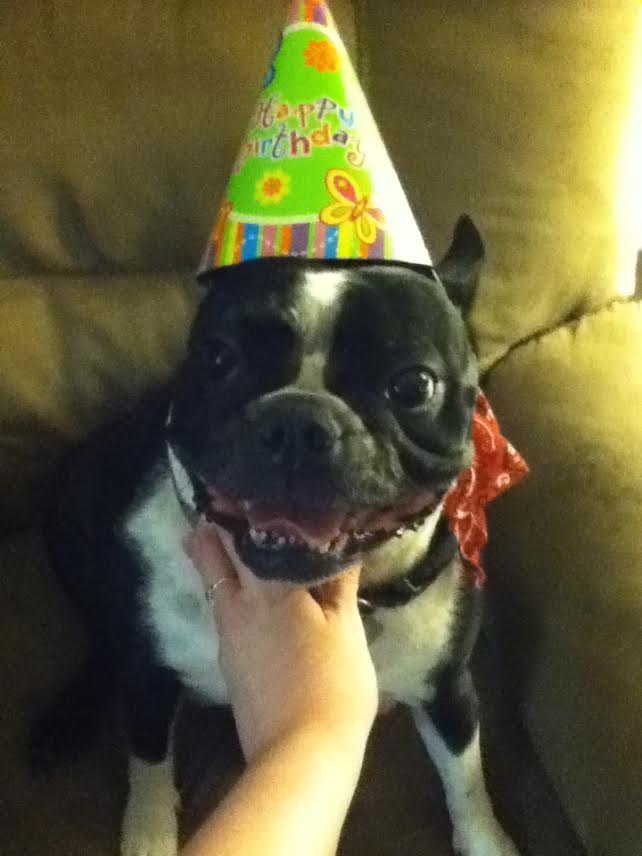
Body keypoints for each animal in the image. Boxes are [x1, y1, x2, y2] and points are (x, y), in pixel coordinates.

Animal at [30, 216, 516, 856]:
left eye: (413, 386)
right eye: (218, 357)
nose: (296, 421)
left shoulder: (448, 689)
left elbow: (467, 780)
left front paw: (489, 840)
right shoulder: (149, 675)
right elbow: (150, 761)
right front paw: (149, 834)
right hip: (74, 500)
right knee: (101, 633)